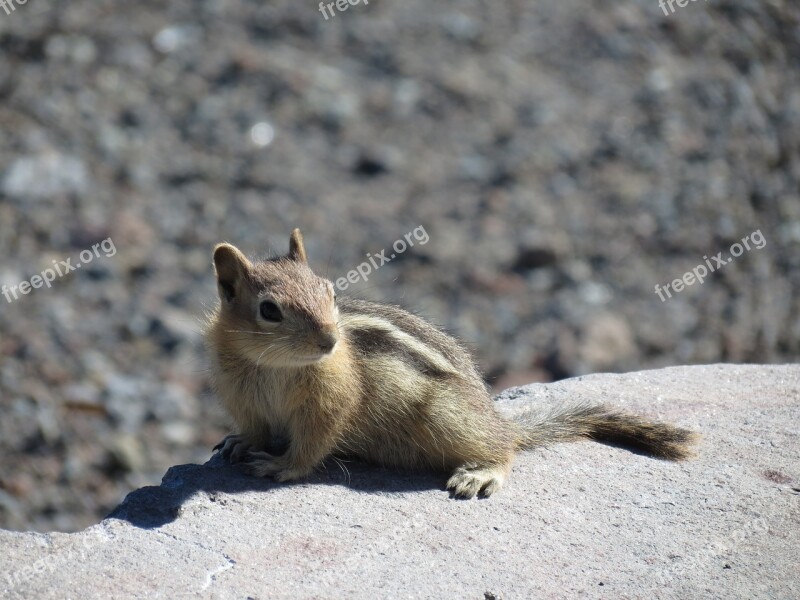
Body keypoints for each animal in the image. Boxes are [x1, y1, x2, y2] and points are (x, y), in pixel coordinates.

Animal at [205, 230, 692, 496]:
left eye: (329, 290)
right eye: (270, 310)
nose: (330, 339)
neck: (275, 366)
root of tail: (496, 416)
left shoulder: (330, 403)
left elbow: (312, 444)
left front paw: (280, 466)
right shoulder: (240, 397)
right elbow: (254, 429)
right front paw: (239, 443)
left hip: (446, 417)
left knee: (505, 448)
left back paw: (482, 473)